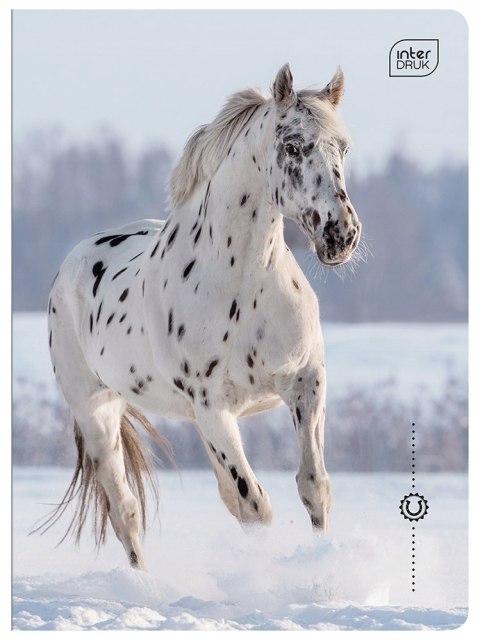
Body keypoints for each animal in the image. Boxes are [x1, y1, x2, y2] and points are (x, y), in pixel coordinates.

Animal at [40, 64, 362, 570]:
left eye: (343, 147)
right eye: (292, 146)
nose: (340, 234)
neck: (242, 285)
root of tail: (72, 262)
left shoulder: (306, 381)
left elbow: (314, 486)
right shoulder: (214, 406)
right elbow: (255, 504)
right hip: (98, 412)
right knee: (126, 511)